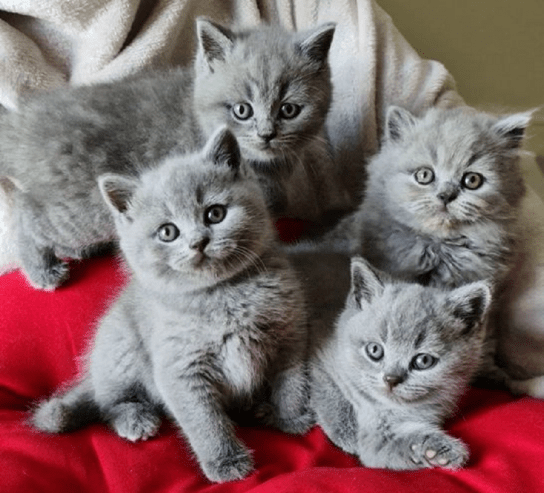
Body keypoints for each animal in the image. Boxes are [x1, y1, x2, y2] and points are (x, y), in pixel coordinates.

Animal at [0, 18, 346, 288]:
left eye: (289, 110)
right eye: (242, 110)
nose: (266, 135)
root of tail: (23, 122)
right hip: (83, 212)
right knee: (27, 215)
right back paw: (42, 270)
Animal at [30, 129, 310, 482]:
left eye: (215, 213)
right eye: (168, 232)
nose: (198, 242)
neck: (224, 293)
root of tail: (91, 374)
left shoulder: (290, 335)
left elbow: (292, 381)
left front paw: (291, 419)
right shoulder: (180, 368)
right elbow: (203, 420)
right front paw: (225, 462)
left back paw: (257, 408)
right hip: (120, 347)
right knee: (107, 402)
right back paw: (135, 419)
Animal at [310, 258, 492, 468]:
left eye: (423, 360)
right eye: (375, 350)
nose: (391, 378)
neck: (380, 406)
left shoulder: (381, 435)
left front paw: (438, 450)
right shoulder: (318, 356)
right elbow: (330, 392)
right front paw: (346, 431)